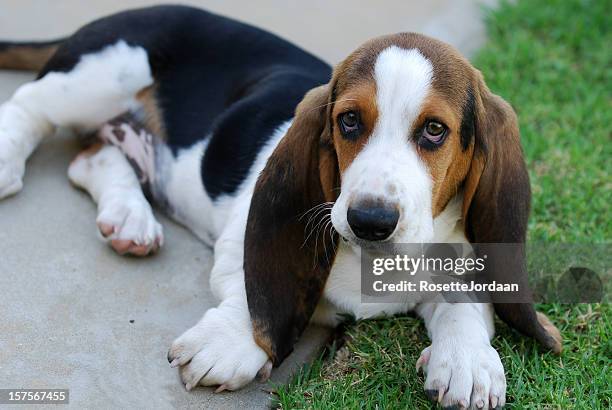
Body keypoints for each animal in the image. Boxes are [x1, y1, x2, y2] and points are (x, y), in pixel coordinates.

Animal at [0, 4, 560, 408]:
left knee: (92, 159)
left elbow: (463, 304)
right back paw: (10, 160)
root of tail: (121, 14)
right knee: (30, 109)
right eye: (349, 120)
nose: (370, 221)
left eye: (435, 130)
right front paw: (232, 343)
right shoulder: (239, 241)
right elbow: (252, 288)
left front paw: (468, 363)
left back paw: (128, 219)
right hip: (101, 75)